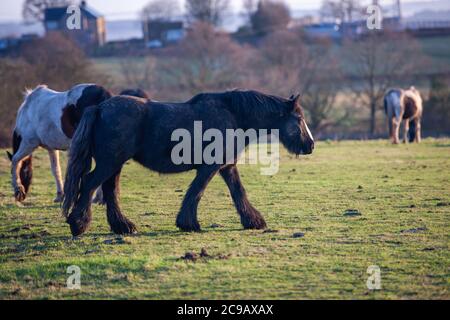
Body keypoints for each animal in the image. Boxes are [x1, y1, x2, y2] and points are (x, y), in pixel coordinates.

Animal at [61, 89, 314, 236]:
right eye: (299, 118)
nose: (310, 145)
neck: (233, 115)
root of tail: (99, 108)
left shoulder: (227, 167)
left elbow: (238, 192)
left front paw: (253, 221)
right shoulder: (210, 167)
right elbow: (197, 191)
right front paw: (189, 223)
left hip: (115, 164)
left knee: (109, 190)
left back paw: (122, 226)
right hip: (109, 162)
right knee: (90, 184)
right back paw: (78, 223)